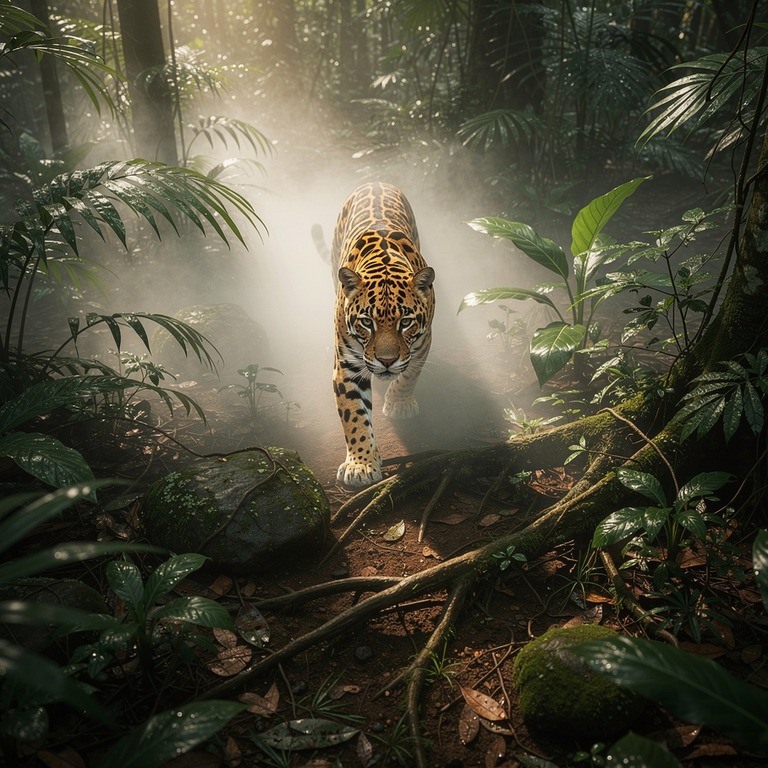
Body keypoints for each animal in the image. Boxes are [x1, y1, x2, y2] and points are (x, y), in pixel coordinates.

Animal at [329, 182, 435, 488]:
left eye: (405, 322)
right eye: (367, 322)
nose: (386, 362)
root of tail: (374, 181)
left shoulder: (423, 343)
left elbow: (410, 375)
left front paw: (399, 405)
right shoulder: (347, 366)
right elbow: (353, 416)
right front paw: (361, 464)